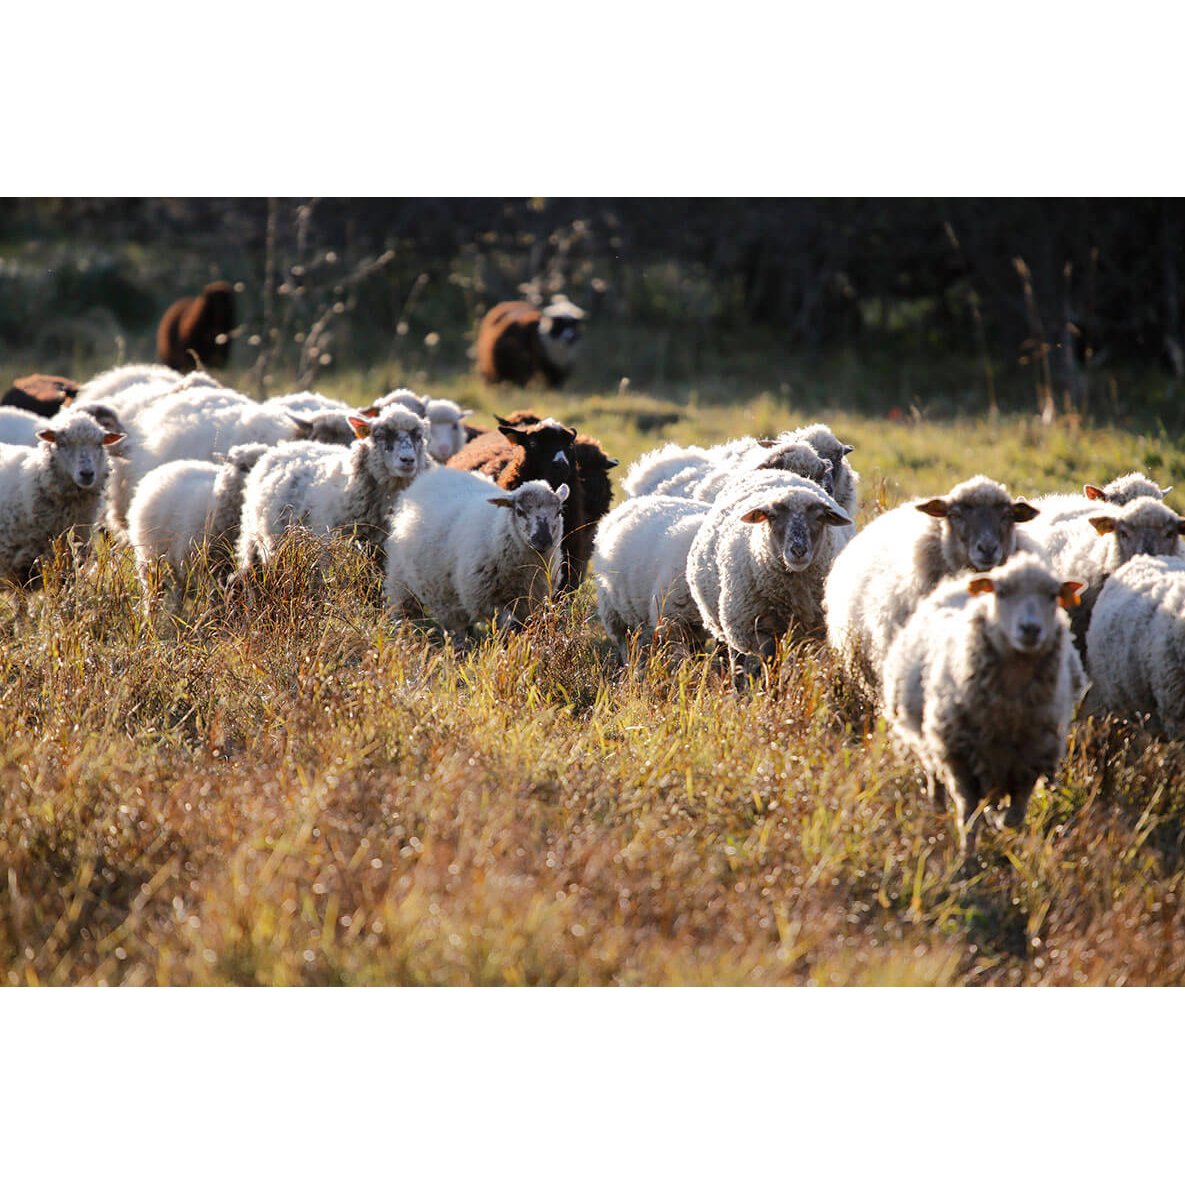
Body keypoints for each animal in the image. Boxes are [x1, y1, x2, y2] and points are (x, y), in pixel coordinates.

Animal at [127, 442, 271, 607]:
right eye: (243, 467)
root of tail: (168, 466)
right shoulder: (203, 565)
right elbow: (213, 596)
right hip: (151, 558)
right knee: (157, 591)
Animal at [384, 467, 568, 645]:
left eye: (559, 511)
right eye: (519, 511)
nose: (543, 540)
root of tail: (435, 473)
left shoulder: (528, 603)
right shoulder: (485, 601)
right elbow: (510, 626)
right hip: (402, 584)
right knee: (409, 617)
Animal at [686, 471, 853, 676]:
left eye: (820, 517)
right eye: (772, 516)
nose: (798, 550)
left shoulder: (813, 632)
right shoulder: (760, 628)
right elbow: (771, 665)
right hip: (732, 618)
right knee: (736, 659)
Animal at [882, 553, 1087, 855]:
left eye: (1053, 596)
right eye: (1001, 593)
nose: (1030, 629)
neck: (1008, 712)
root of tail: (960, 582)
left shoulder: (1030, 760)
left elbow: (1014, 816)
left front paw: (999, 822)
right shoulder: (960, 757)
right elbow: (968, 815)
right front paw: (968, 859)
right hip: (930, 739)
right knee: (934, 776)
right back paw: (937, 808)